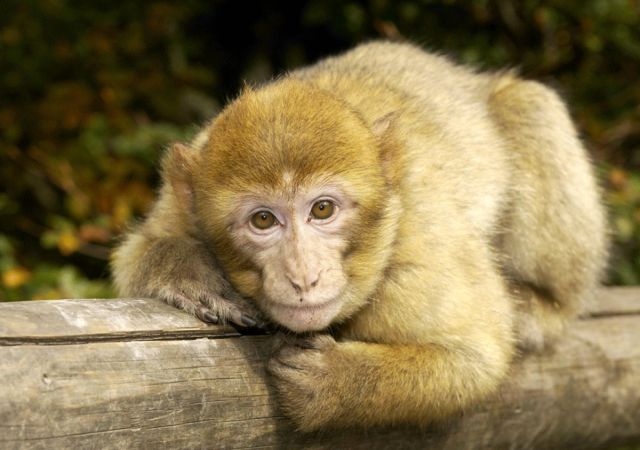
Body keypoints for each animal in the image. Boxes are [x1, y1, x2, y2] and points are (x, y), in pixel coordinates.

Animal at [112, 41, 608, 428]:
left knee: (530, 103)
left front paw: (334, 383)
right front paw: (192, 272)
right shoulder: (179, 206)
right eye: (263, 220)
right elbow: (138, 253)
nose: (303, 276)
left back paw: (539, 304)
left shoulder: (421, 246)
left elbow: (475, 357)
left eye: (323, 209)